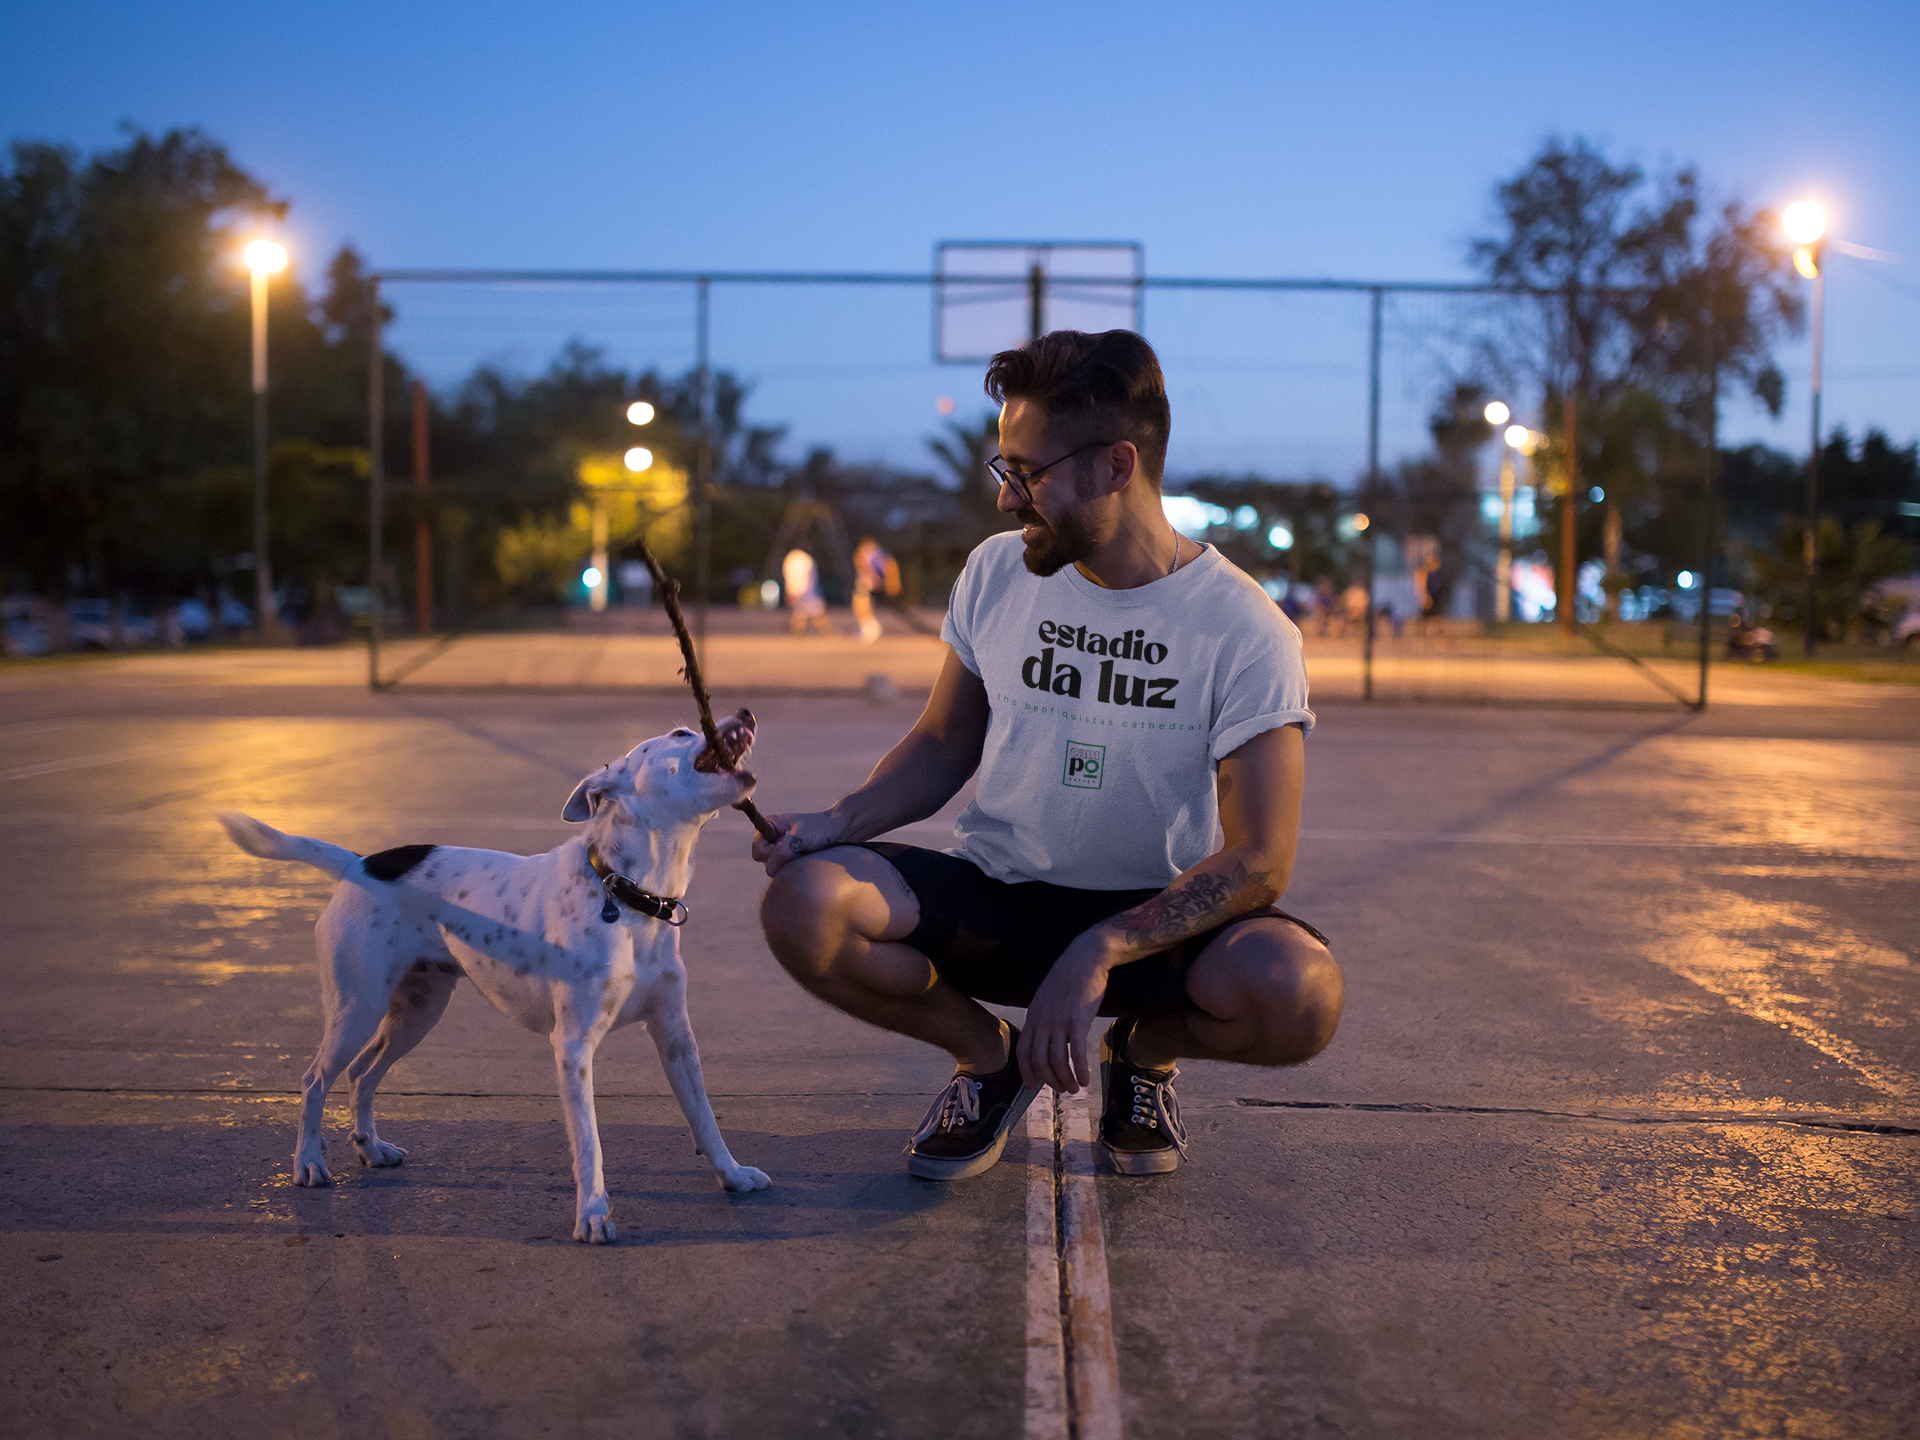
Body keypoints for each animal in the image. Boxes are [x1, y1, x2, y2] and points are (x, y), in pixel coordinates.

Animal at [214, 706, 768, 1244]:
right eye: (680, 732)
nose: (745, 712)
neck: (628, 893)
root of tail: (360, 864)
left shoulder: (675, 1036)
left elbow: (704, 1117)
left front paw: (733, 1175)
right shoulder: (573, 1047)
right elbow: (589, 1143)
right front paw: (592, 1214)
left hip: (418, 1013)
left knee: (361, 1073)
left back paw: (371, 1148)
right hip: (358, 1009)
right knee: (314, 1079)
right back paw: (308, 1162)